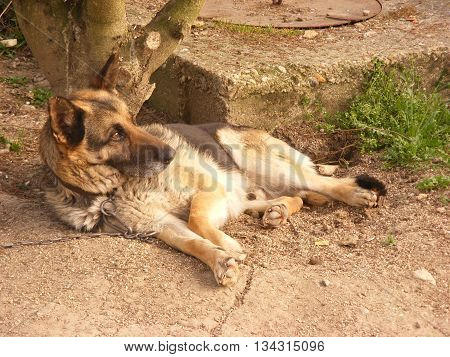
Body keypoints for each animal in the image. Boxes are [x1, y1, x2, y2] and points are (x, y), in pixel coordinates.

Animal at [39, 54, 386, 286]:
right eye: (115, 134)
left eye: (132, 121)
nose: (171, 154)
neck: (113, 191)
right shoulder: (161, 224)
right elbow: (193, 241)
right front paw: (221, 261)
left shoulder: (210, 189)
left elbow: (196, 218)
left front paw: (227, 245)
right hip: (250, 189)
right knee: (295, 195)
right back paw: (277, 210)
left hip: (259, 164)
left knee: (319, 183)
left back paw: (354, 194)